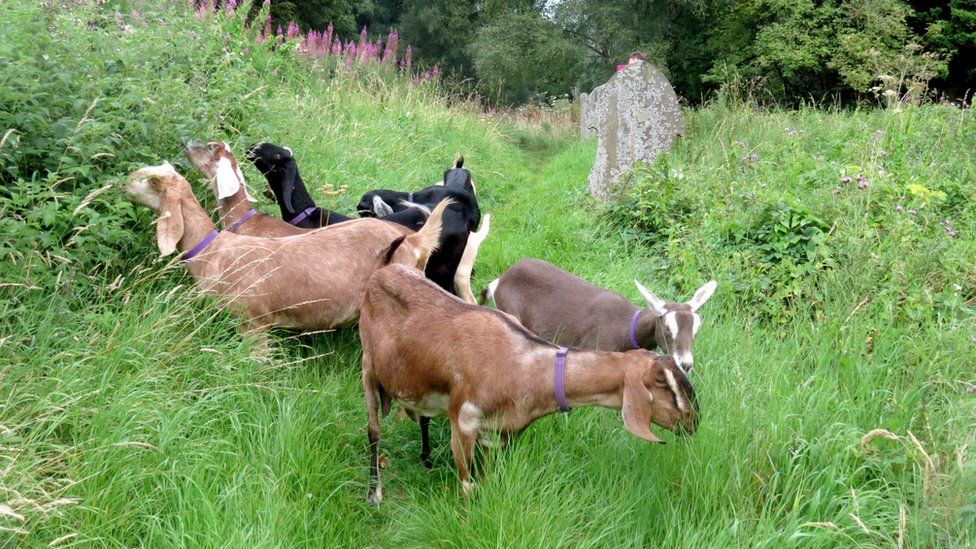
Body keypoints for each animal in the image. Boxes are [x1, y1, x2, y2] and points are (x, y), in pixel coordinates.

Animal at [358, 264, 692, 504]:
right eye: (662, 383)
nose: (693, 420)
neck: (521, 365)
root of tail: (382, 272)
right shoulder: (463, 422)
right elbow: (468, 487)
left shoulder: (498, 434)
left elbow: (486, 480)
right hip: (368, 367)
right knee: (373, 431)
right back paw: (374, 492)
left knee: (423, 418)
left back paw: (426, 460)